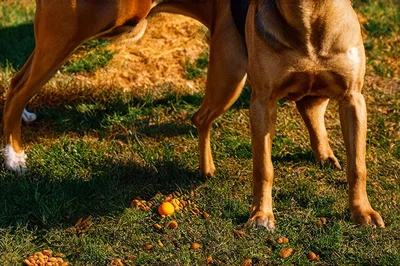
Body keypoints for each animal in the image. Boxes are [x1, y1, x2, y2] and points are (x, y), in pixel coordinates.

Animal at [3, 0, 384, 229]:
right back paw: (14, 156)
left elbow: (358, 166)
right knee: (17, 88)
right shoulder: (261, 102)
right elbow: (264, 168)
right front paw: (261, 216)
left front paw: (362, 212)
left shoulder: (353, 99)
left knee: (18, 80)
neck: (309, 16)